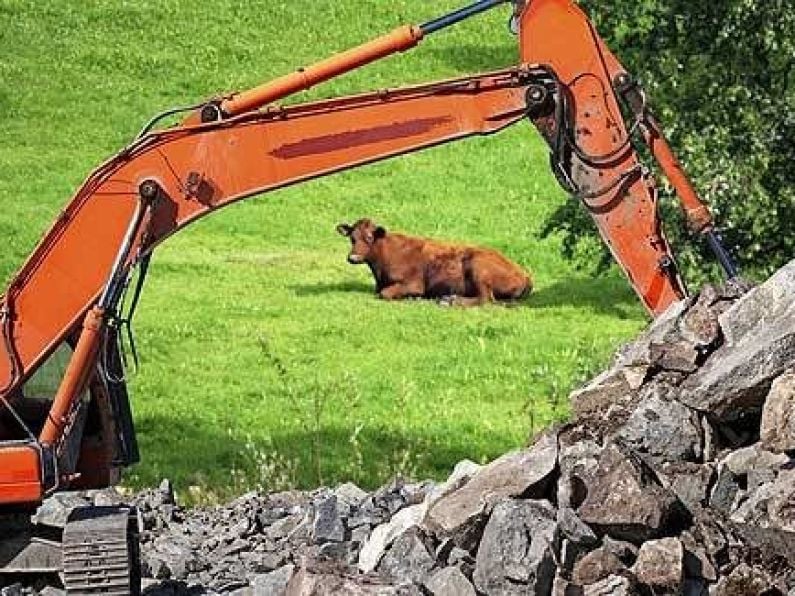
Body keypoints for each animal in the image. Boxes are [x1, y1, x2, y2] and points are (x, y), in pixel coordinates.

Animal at [336, 217, 536, 304]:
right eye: (352, 238)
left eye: (369, 237)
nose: (353, 257)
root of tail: (524, 274)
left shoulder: (413, 284)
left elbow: (385, 293)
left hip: (479, 269)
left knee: (485, 299)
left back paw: (451, 300)